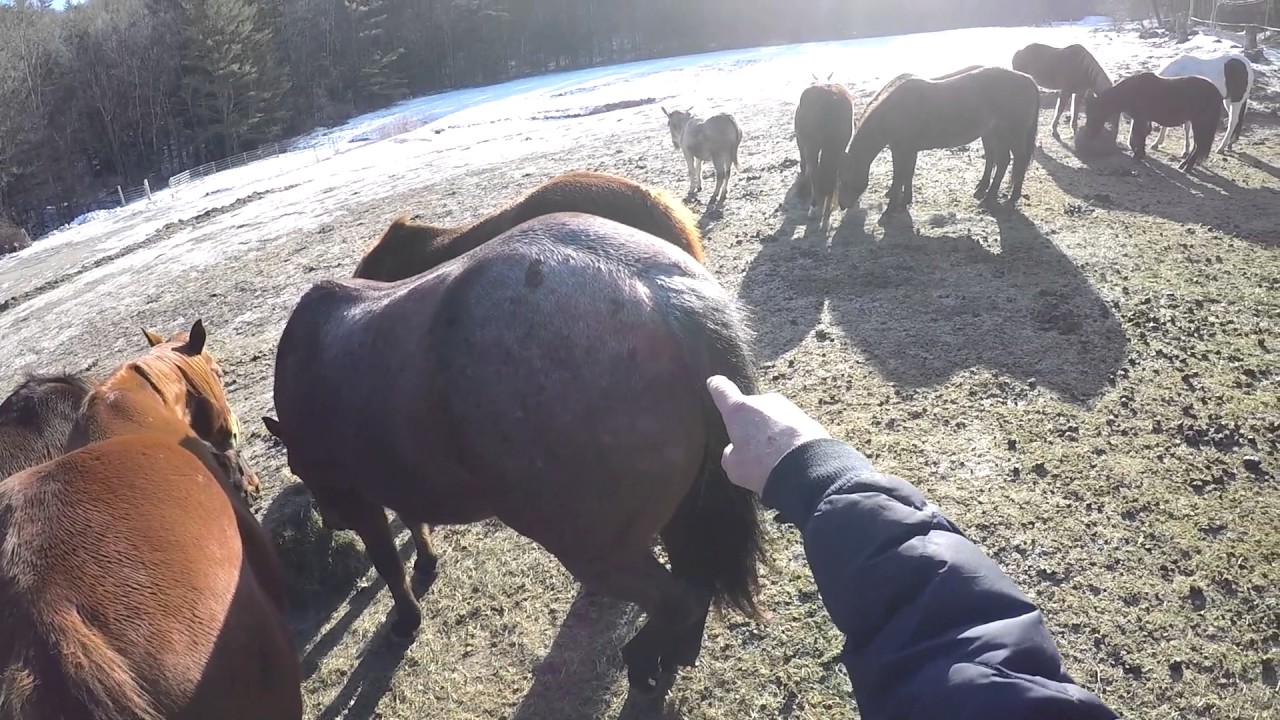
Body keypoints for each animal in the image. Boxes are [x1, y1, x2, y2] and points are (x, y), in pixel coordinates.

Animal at [265, 212, 764, 693]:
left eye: (298, 468)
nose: (331, 522)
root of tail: (656, 293)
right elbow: (413, 519)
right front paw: (426, 563)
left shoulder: (360, 503)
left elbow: (389, 565)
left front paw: (407, 620)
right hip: (681, 514)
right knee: (694, 584)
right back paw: (673, 654)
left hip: (595, 552)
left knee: (678, 600)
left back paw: (642, 661)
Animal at [839, 65, 1040, 214]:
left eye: (845, 179)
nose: (842, 205)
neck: (896, 110)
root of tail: (1029, 79)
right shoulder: (903, 150)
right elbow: (906, 174)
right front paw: (905, 200)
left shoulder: (905, 150)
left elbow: (900, 176)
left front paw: (892, 208)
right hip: (996, 134)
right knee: (1002, 161)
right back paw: (987, 192)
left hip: (1011, 134)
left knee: (1018, 161)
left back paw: (1009, 197)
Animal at [1078, 72, 1221, 173]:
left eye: (1093, 113)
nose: (1088, 135)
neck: (1131, 92)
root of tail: (1217, 93)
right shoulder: (1141, 119)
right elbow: (1138, 136)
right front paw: (1139, 153)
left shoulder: (1140, 118)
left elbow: (1138, 135)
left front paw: (1138, 155)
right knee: (1197, 146)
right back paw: (1184, 164)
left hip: (1200, 123)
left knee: (1197, 146)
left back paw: (1187, 167)